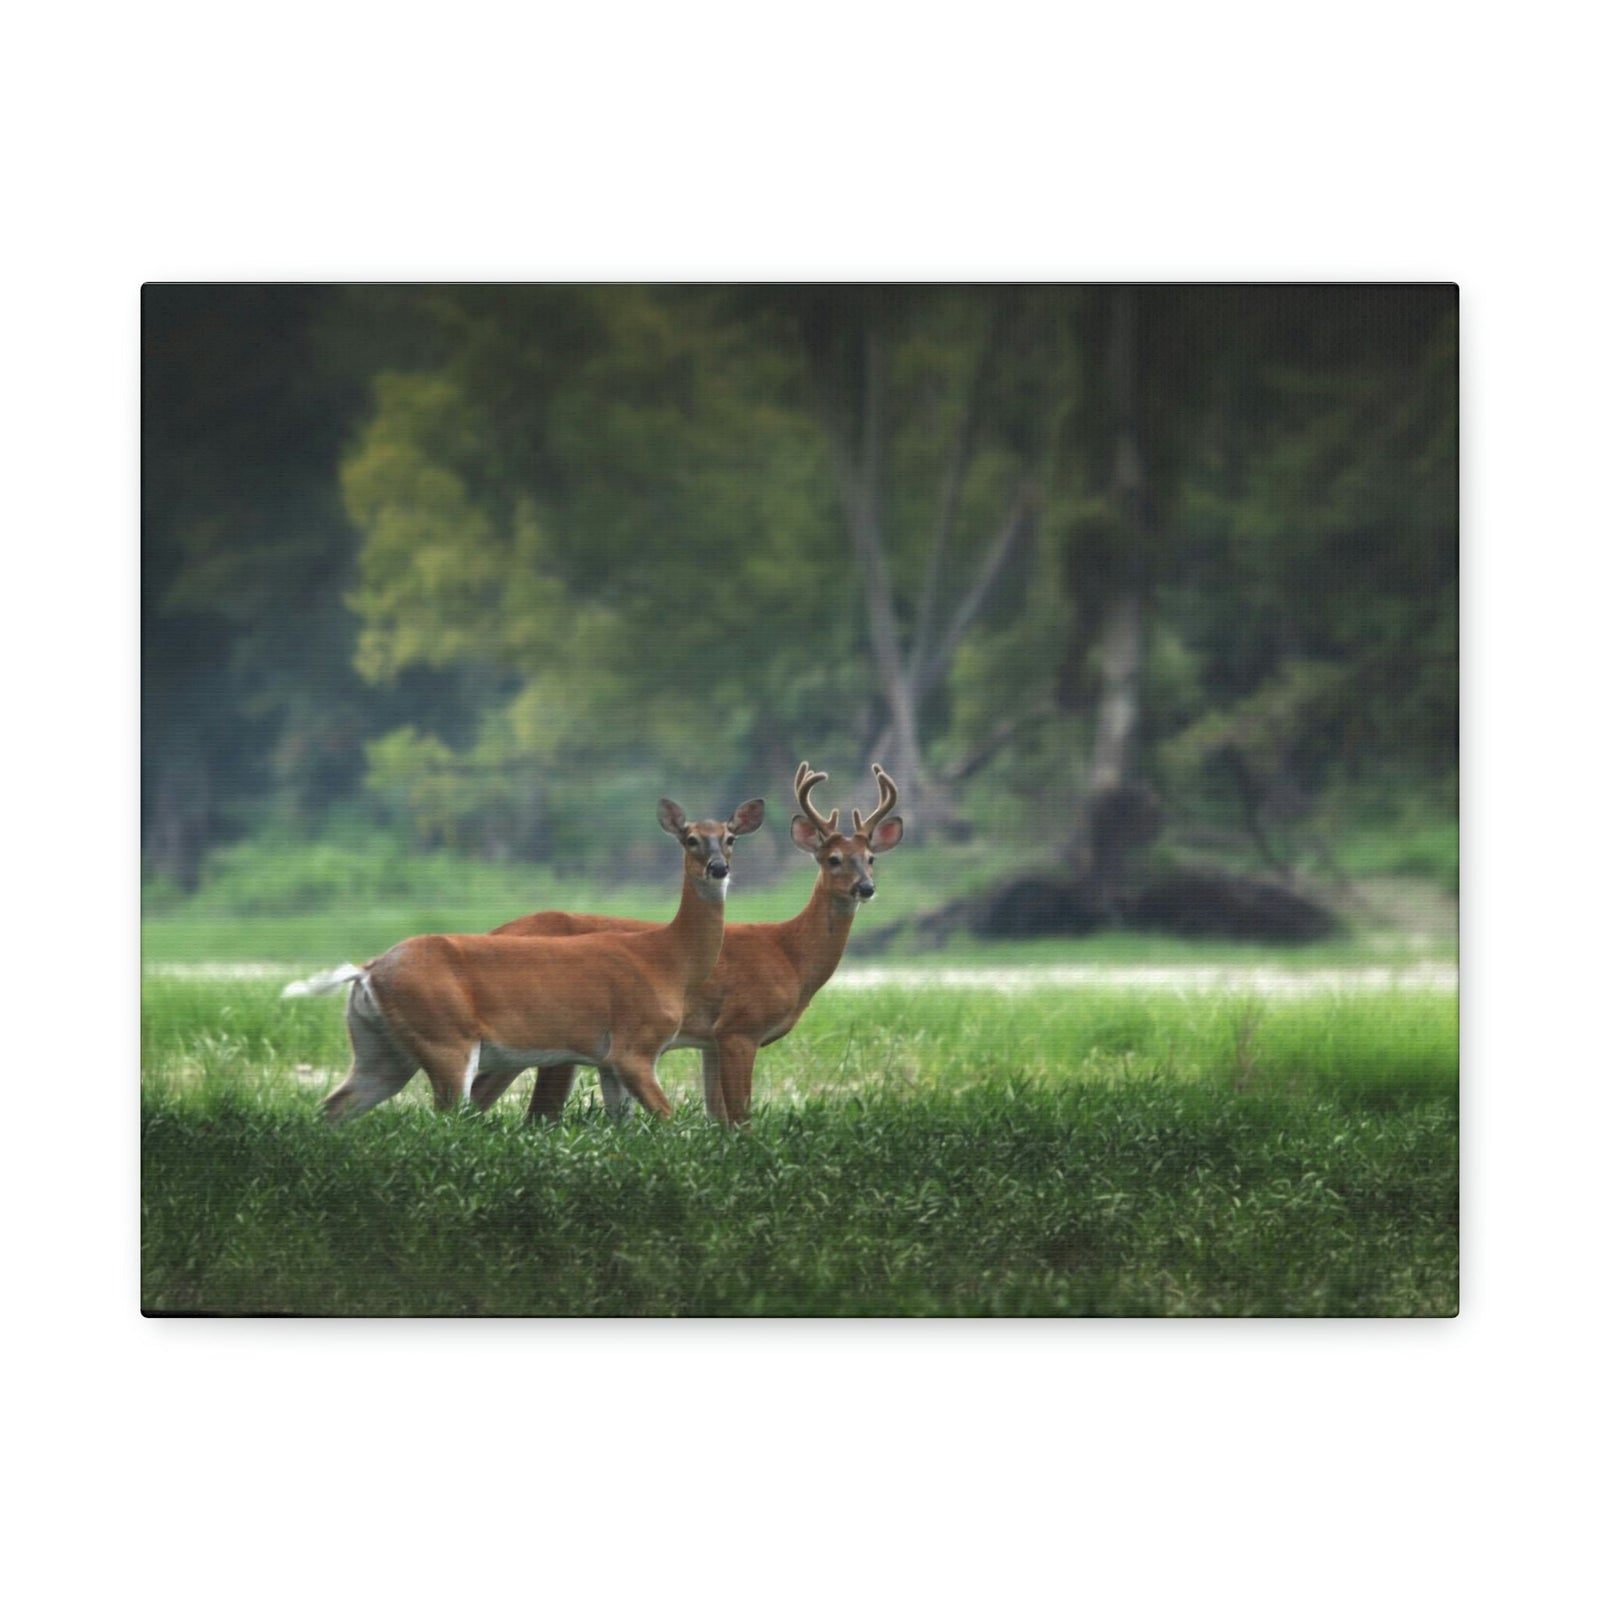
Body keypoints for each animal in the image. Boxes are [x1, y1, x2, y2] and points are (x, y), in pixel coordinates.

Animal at [281, 796, 766, 1123]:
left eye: (730, 838)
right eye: (690, 839)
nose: (719, 868)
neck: (667, 960)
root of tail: (367, 971)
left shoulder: (608, 1061)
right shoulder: (635, 1046)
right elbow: (667, 1121)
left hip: (380, 1050)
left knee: (333, 1107)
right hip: (446, 1038)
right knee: (443, 1118)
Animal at [469, 763, 903, 1125]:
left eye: (870, 858)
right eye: (832, 859)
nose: (865, 888)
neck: (789, 955)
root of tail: (494, 932)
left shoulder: (711, 1042)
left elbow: (719, 1117)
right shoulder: (739, 1027)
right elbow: (740, 1118)